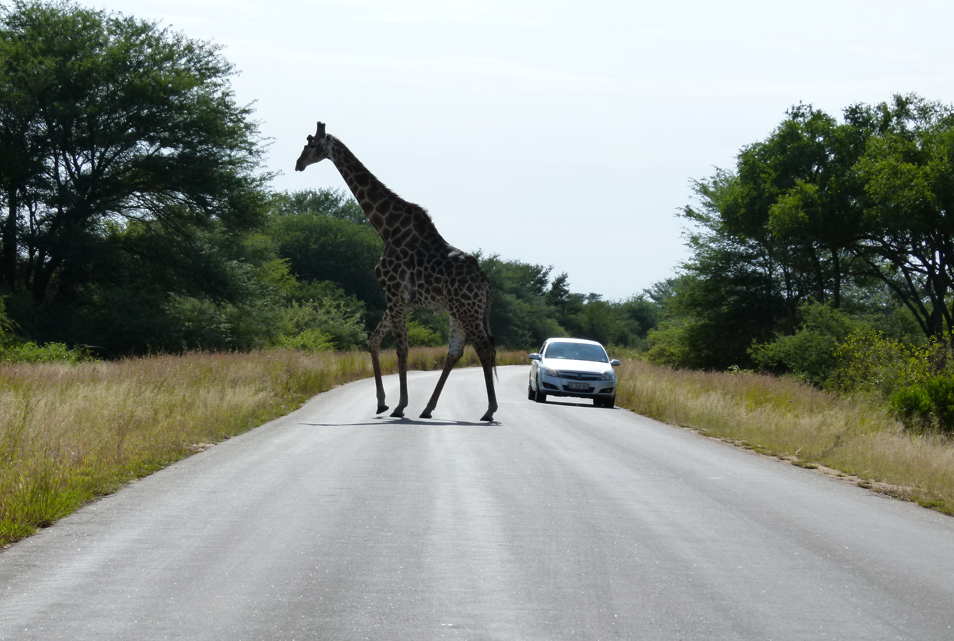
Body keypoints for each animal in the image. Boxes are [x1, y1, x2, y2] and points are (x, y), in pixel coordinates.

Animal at [295, 122, 498, 421]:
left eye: (311, 144)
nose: (298, 164)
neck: (387, 227)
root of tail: (485, 281)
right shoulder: (399, 299)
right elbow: (374, 341)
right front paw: (382, 403)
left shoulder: (393, 292)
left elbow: (401, 349)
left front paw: (400, 406)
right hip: (458, 310)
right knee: (455, 352)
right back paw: (428, 408)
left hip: (468, 309)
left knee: (484, 348)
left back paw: (489, 410)